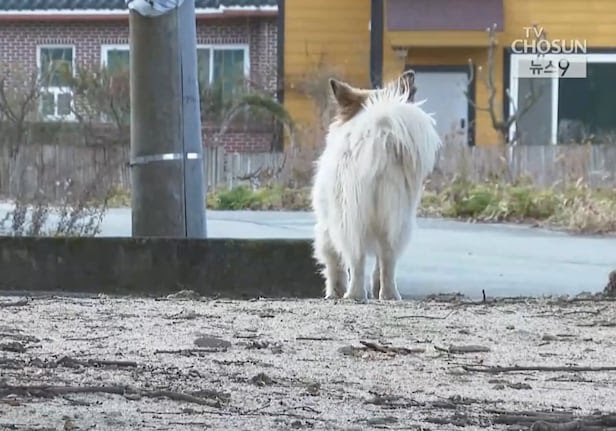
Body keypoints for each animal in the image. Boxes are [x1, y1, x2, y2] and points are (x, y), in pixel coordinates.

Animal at [312, 69, 442, 302]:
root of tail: (381, 138)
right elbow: (379, 265)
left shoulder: (326, 226)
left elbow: (334, 263)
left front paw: (334, 291)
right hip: (397, 218)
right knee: (388, 259)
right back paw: (388, 294)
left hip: (347, 218)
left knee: (356, 259)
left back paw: (353, 294)